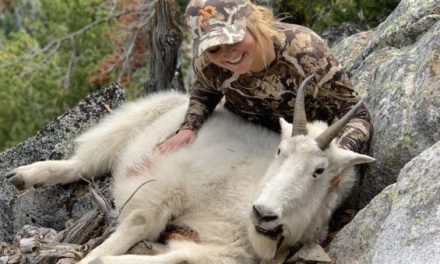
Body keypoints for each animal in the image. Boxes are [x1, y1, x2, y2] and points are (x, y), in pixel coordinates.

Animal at [6, 76, 374, 262]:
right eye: (280, 151)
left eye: (319, 171)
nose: (263, 213)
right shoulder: (164, 190)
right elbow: (138, 224)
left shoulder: (221, 251)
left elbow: (175, 257)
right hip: (132, 122)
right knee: (82, 162)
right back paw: (22, 176)